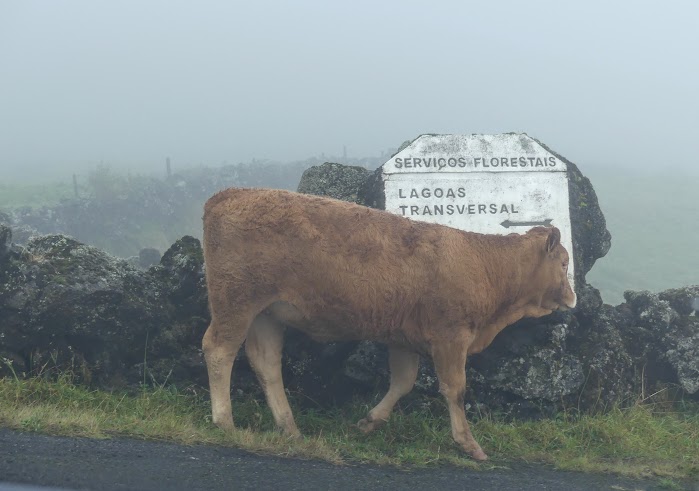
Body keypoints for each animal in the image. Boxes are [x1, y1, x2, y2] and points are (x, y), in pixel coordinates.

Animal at [200, 188, 576, 462]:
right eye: (563, 262)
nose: (573, 297)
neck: (484, 264)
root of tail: (230, 193)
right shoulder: (451, 337)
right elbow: (455, 390)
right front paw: (469, 444)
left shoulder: (403, 339)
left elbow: (403, 383)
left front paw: (369, 422)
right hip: (236, 302)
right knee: (219, 349)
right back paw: (225, 421)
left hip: (266, 314)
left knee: (266, 364)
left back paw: (289, 427)